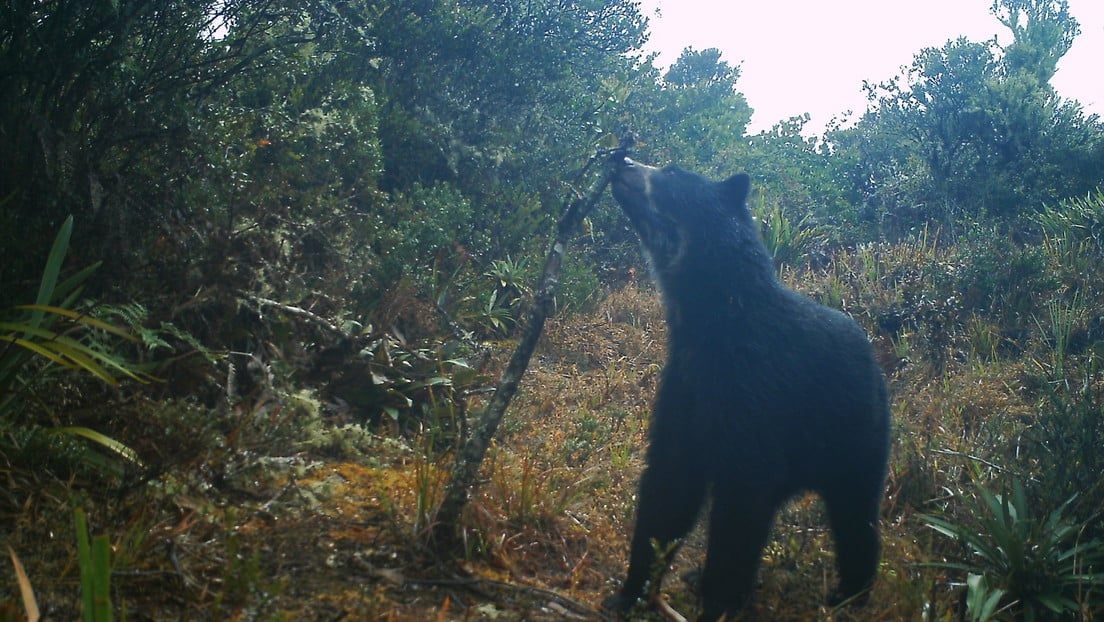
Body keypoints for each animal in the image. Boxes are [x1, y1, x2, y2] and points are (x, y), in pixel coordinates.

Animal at [604, 157, 887, 618]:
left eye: (672, 169)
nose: (623, 161)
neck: (712, 325)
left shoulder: (758, 396)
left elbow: (739, 513)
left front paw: (717, 602)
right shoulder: (685, 389)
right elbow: (669, 488)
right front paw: (630, 591)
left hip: (855, 436)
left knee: (855, 513)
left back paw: (851, 590)